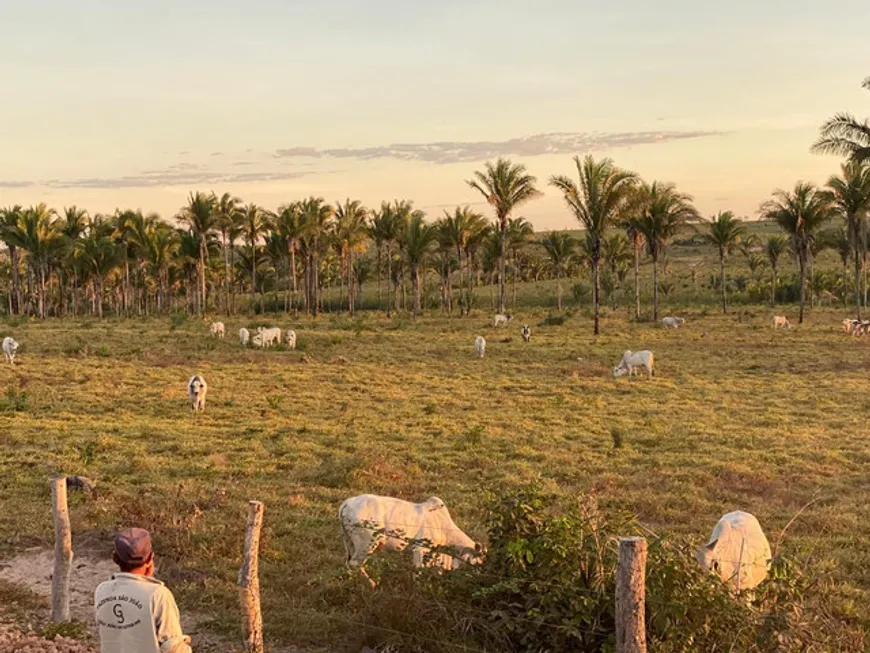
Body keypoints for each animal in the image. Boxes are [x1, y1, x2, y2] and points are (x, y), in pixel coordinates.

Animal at [338, 494, 484, 584]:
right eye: (477, 562)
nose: (477, 577)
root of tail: (348, 502)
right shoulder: (420, 549)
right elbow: (417, 571)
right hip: (367, 544)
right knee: (355, 564)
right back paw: (372, 584)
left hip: (349, 542)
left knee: (349, 563)